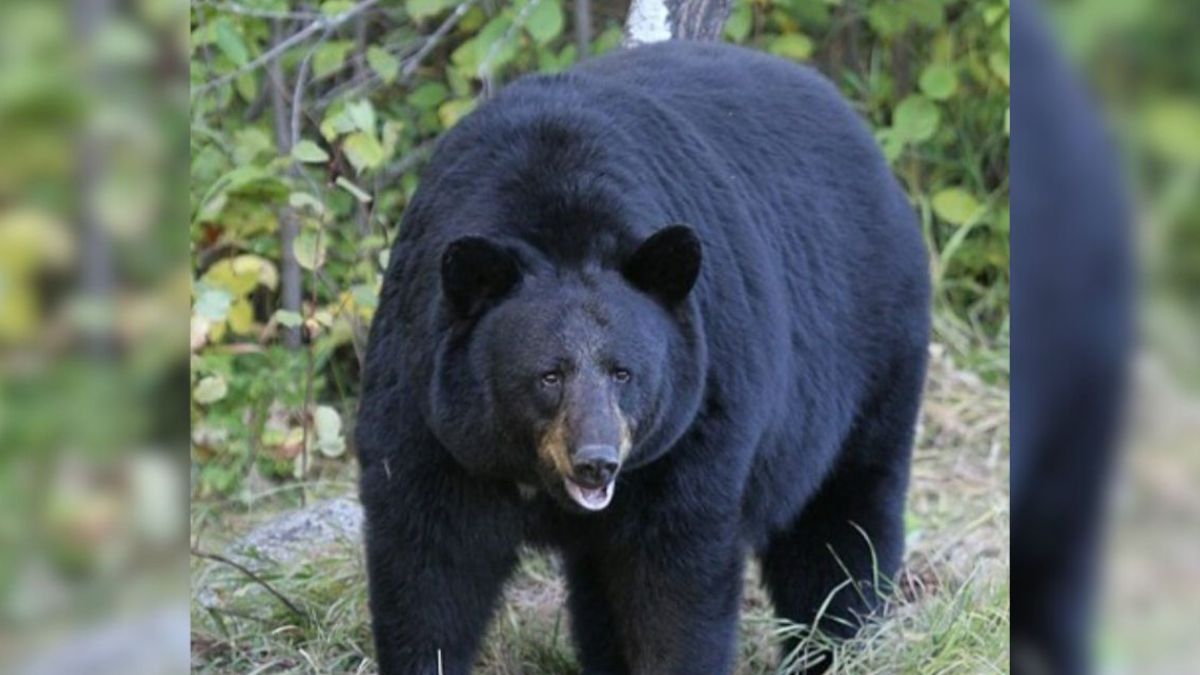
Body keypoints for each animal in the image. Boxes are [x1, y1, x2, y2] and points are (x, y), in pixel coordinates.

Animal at [356, 41, 930, 675]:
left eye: (623, 373)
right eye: (548, 375)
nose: (596, 462)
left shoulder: (695, 422)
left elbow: (675, 581)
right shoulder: (429, 414)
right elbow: (428, 566)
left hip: (870, 357)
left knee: (840, 527)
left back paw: (836, 646)